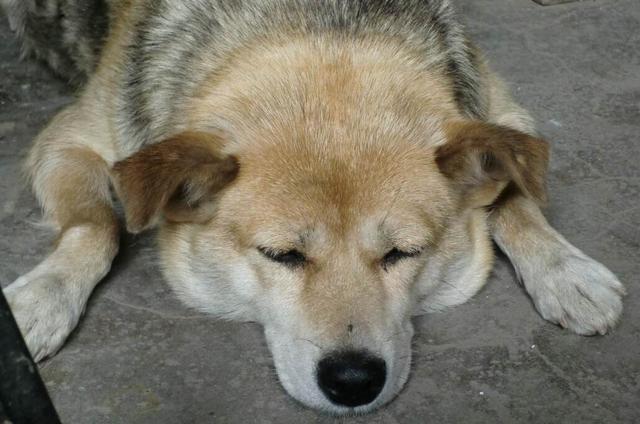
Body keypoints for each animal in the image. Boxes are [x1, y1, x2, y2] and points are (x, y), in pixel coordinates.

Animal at [1, 0, 625, 414]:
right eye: (281, 255)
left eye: (403, 253)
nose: (353, 381)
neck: (318, 28)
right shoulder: (68, 140)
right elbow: (97, 223)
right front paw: (43, 297)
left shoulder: (504, 112)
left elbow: (518, 196)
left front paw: (565, 271)